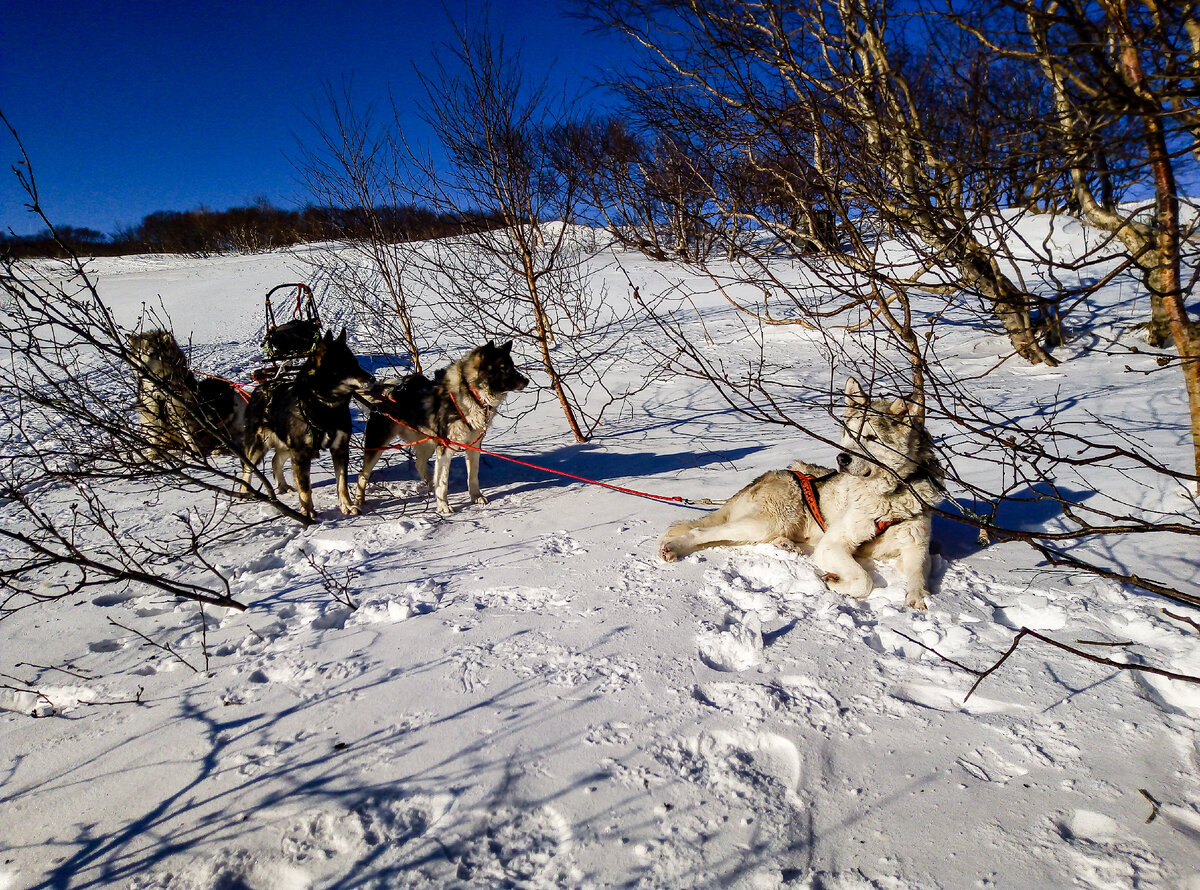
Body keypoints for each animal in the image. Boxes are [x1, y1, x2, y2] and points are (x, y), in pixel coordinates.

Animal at [126, 328, 243, 460]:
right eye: (138, 354)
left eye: (152, 353)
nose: (140, 369)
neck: (160, 388)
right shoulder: (151, 410)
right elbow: (154, 432)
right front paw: (153, 452)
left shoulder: (181, 410)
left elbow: (188, 435)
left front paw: (196, 452)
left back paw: (220, 448)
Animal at [240, 328, 374, 520]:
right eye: (346, 366)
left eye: (356, 363)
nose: (372, 379)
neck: (325, 408)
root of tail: (262, 388)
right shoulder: (301, 453)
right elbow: (305, 487)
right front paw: (308, 511)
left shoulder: (340, 449)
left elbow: (342, 483)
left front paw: (347, 506)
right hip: (259, 445)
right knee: (247, 468)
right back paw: (244, 492)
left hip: (286, 446)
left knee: (275, 460)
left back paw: (282, 485)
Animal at [352, 345, 528, 520]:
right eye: (504, 368)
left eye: (512, 366)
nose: (526, 380)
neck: (471, 394)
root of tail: (386, 389)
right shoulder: (445, 449)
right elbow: (443, 481)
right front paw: (443, 506)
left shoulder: (473, 446)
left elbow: (473, 475)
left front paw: (476, 496)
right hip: (377, 444)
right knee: (363, 474)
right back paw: (358, 501)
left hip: (428, 443)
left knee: (419, 464)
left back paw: (431, 486)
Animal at [657, 376, 945, 614]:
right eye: (849, 434)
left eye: (871, 438)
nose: (841, 458)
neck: (890, 497)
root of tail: (769, 475)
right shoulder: (833, 543)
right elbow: (864, 581)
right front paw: (835, 582)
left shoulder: (917, 547)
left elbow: (920, 575)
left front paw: (918, 597)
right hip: (766, 522)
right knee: (701, 532)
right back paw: (674, 547)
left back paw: (786, 545)